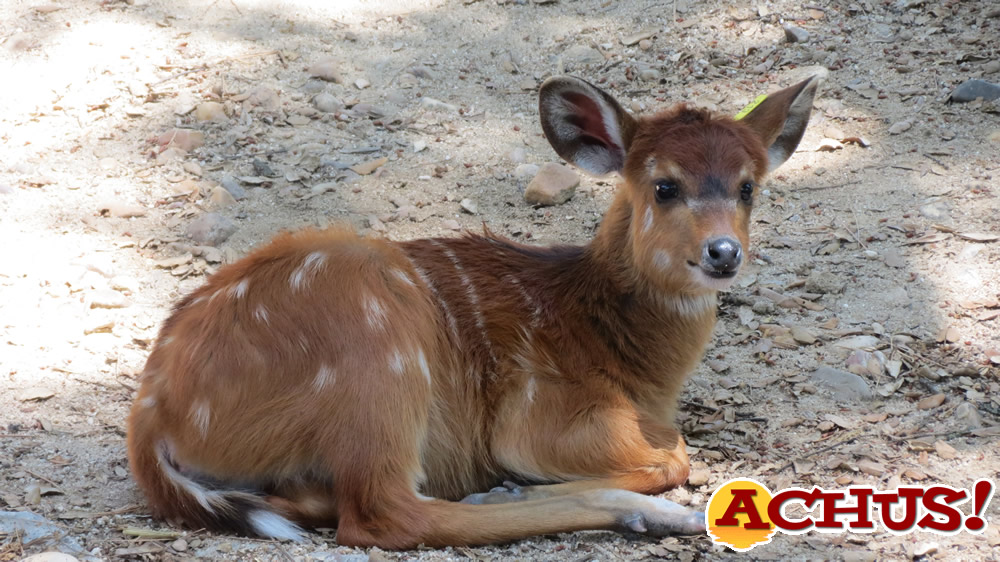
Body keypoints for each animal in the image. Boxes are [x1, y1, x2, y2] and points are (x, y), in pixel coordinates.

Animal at [129, 74, 820, 548]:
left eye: (748, 187)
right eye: (665, 185)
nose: (723, 252)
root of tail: (154, 420)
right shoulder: (547, 413)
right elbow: (673, 455)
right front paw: (516, 482)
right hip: (376, 354)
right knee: (384, 514)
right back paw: (643, 514)